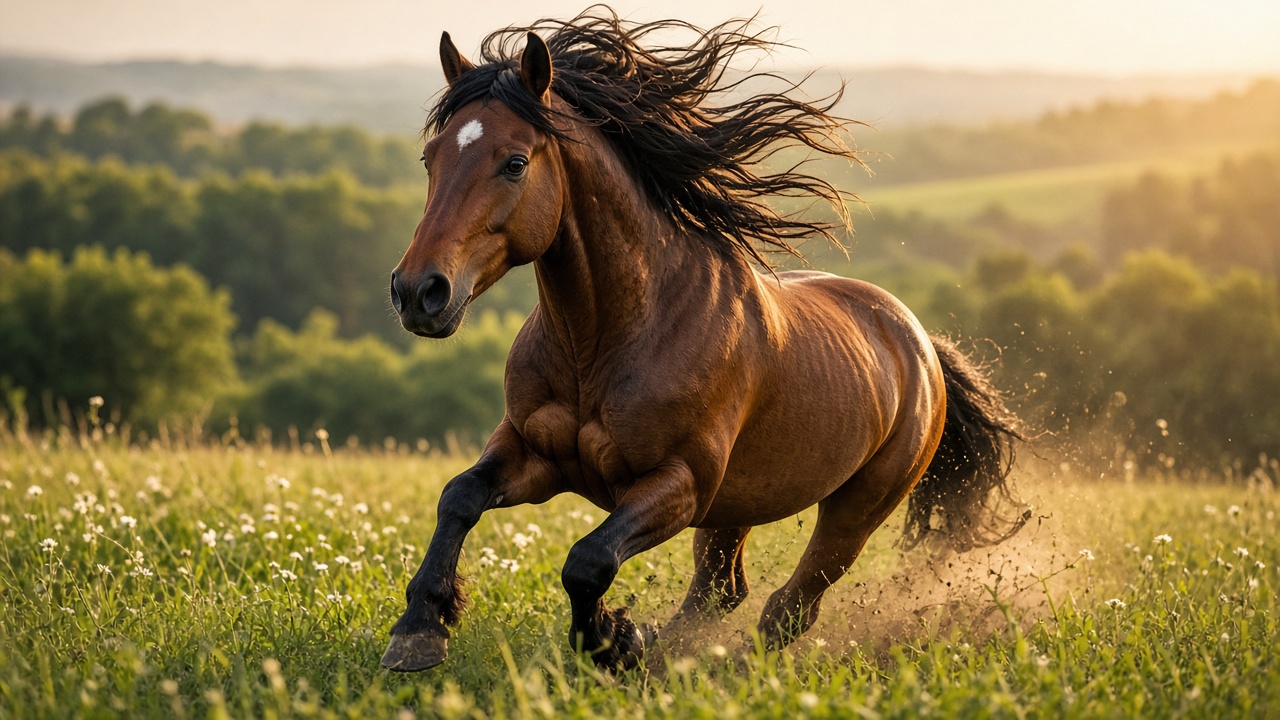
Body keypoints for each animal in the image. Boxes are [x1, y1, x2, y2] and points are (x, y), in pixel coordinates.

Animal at [381, 9, 1027, 673]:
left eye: (514, 162)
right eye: (430, 158)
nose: (418, 292)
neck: (606, 343)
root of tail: (920, 344)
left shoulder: (681, 484)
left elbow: (588, 561)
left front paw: (609, 642)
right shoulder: (533, 453)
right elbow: (459, 497)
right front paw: (419, 631)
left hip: (854, 509)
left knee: (788, 608)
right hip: (736, 506)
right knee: (721, 592)